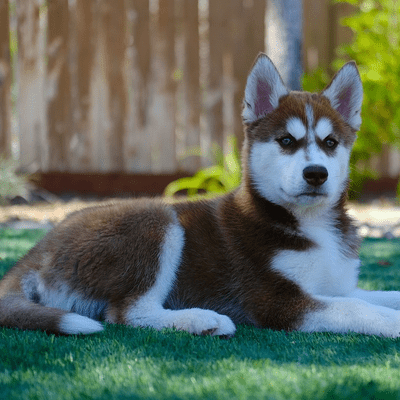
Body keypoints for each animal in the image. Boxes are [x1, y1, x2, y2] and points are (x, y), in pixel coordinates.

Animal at [0, 54, 400, 338]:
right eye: (287, 141)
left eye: (330, 143)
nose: (316, 174)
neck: (311, 224)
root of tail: (39, 248)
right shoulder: (276, 300)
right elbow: (358, 309)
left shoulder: (338, 286)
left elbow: (376, 296)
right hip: (156, 221)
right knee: (127, 313)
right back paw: (202, 320)